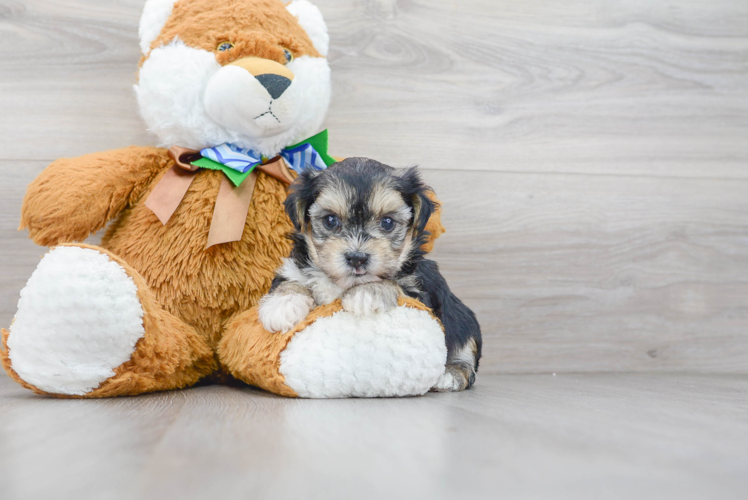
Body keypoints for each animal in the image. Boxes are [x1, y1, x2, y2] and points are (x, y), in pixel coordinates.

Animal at [258, 156, 482, 390]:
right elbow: (291, 281)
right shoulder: (294, 268)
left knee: (467, 354)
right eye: (330, 220)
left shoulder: (421, 293)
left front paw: (367, 293)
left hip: (464, 322)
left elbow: (394, 284)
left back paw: (451, 374)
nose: (357, 257)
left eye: (387, 222)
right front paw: (282, 305)